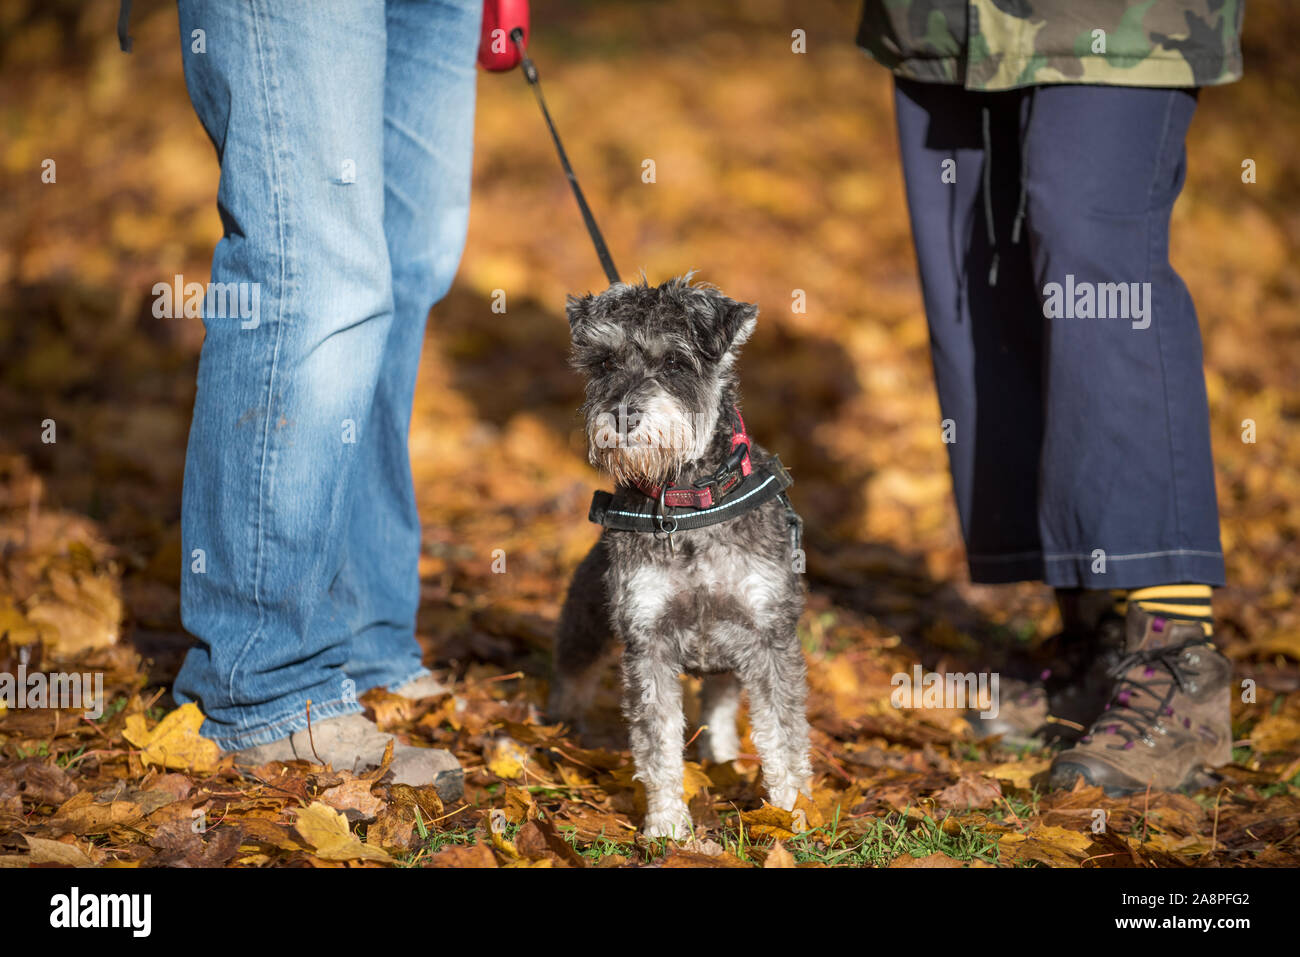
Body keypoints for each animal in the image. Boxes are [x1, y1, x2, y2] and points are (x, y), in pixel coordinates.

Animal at [548, 274, 811, 837]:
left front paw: (795, 811)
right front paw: (667, 825)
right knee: (571, 679)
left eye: (675, 362)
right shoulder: (648, 645)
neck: (686, 502)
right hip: (584, 628)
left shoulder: (769, 637)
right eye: (604, 362)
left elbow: (782, 734)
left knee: (723, 702)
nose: (623, 415)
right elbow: (659, 744)